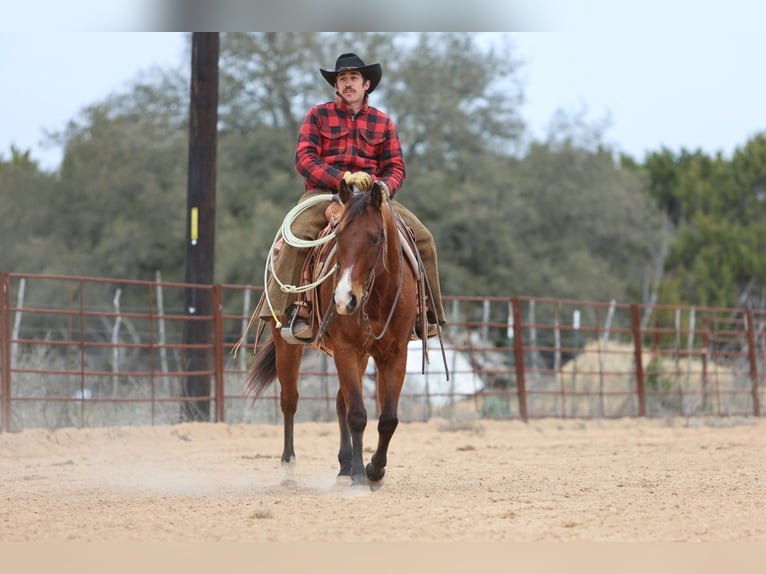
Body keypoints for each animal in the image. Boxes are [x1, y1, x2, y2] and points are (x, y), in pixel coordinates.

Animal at [248, 181, 420, 490]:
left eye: (375, 238)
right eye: (338, 236)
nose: (344, 299)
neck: (376, 296)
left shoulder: (395, 353)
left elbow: (387, 418)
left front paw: (374, 470)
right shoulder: (345, 349)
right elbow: (358, 414)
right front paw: (362, 477)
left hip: (361, 357)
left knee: (341, 403)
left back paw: (344, 468)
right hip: (288, 346)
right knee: (290, 401)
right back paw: (289, 468)